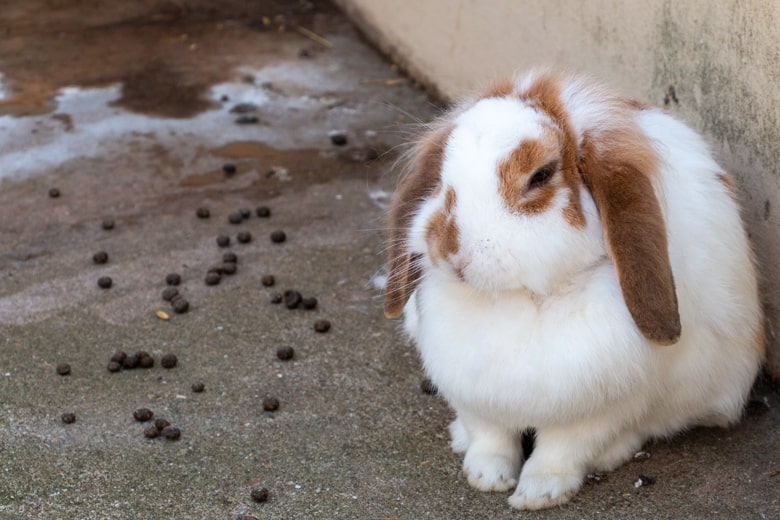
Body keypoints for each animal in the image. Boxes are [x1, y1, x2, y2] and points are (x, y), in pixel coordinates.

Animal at [383, 70, 765, 510]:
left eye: (540, 176)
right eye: (443, 175)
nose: (450, 251)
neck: (521, 299)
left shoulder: (595, 408)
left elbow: (561, 450)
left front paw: (538, 493)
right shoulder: (474, 392)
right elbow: (491, 437)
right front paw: (486, 477)